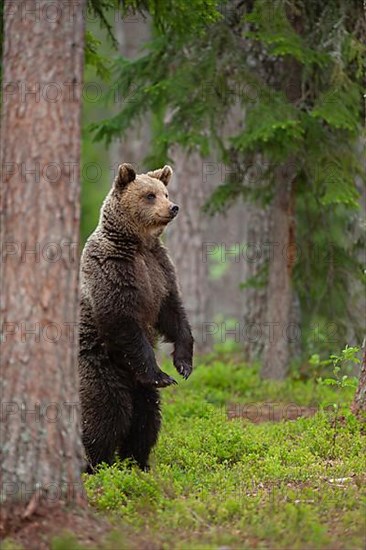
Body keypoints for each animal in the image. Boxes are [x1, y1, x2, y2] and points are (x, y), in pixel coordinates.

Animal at [78, 164, 194, 474]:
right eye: (149, 195)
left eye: (165, 192)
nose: (173, 207)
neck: (138, 244)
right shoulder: (113, 270)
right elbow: (123, 321)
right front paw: (162, 374)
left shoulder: (160, 270)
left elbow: (173, 313)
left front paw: (183, 364)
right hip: (100, 368)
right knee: (105, 415)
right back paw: (96, 463)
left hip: (139, 388)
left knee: (146, 417)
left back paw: (138, 462)